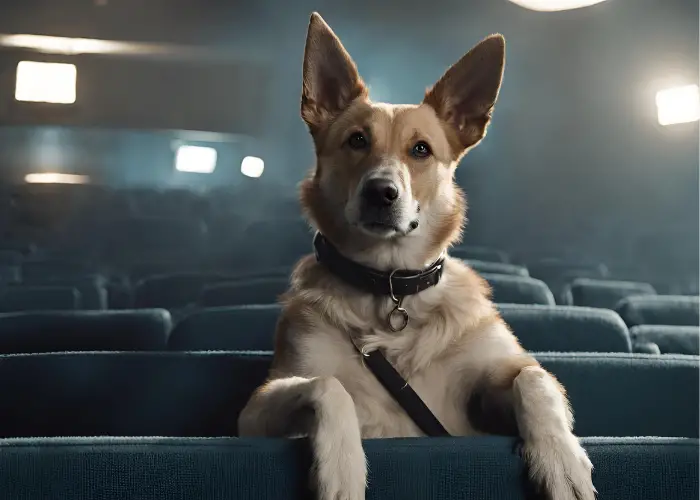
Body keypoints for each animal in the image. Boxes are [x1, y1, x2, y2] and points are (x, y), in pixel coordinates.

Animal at [239, 11, 596, 500]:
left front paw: (562, 460)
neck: (390, 286)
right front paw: (342, 469)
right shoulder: (256, 409)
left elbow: (534, 378)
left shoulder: (495, 375)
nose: (380, 192)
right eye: (356, 140)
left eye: (421, 149)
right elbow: (328, 385)